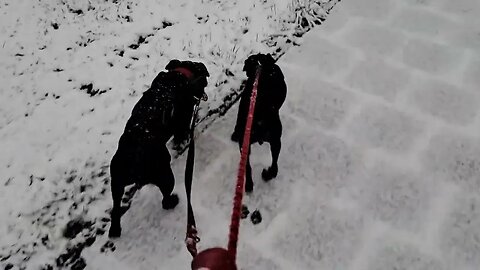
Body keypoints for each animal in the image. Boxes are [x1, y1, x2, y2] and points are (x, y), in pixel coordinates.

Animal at [109, 59, 209, 238]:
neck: (181, 73)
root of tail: (135, 160)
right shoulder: (183, 121)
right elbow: (181, 132)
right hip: (165, 175)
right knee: (165, 198)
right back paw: (173, 201)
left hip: (117, 183)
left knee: (115, 208)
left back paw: (115, 230)